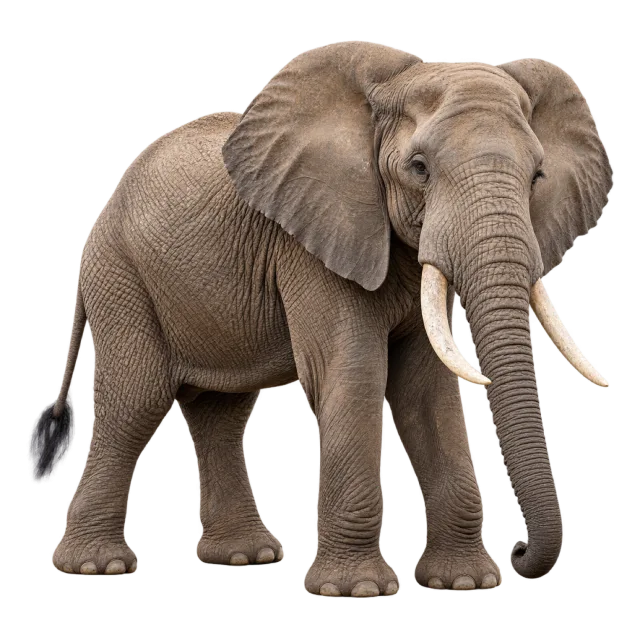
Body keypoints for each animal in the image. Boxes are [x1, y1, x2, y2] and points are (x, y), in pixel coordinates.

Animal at [27, 41, 612, 595]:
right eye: (419, 169)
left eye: (537, 176)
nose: (518, 553)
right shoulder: (310, 242)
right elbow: (354, 372)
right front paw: (357, 589)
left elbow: (426, 389)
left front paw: (466, 582)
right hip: (121, 274)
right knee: (138, 398)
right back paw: (96, 565)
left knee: (221, 412)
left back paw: (244, 558)